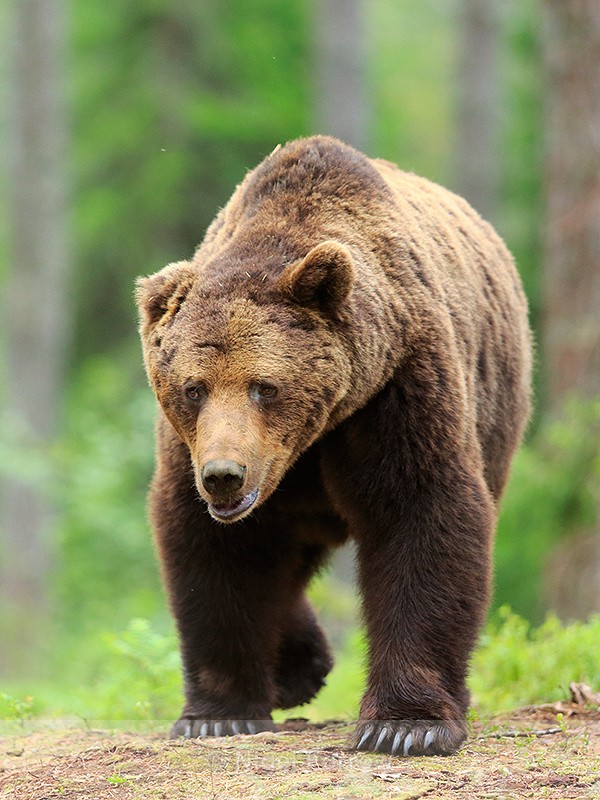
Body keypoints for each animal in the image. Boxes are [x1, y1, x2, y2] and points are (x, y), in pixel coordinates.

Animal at [136, 135, 532, 756]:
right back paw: (300, 667)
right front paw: (217, 715)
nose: (224, 475)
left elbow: (423, 514)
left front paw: (405, 726)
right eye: (193, 388)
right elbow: (213, 550)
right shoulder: (191, 449)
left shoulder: (398, 388)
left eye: (265, 385)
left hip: (495, 407)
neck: (317, 430)